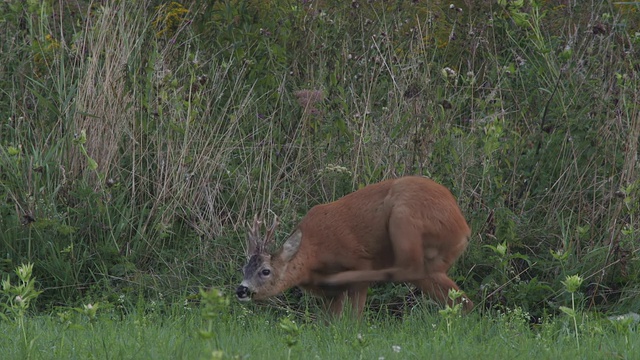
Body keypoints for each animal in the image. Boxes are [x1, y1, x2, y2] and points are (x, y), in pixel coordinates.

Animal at [236, 176, 476, 316]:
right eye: (244, 268)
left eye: (265, 271)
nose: (241, 289)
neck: (314, 254)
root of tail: (463, 227)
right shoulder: (330, 298)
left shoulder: (355, 257)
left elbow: (354, 318)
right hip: (433, 266)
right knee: (461, 300)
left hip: (404, 218)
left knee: (406, 268)